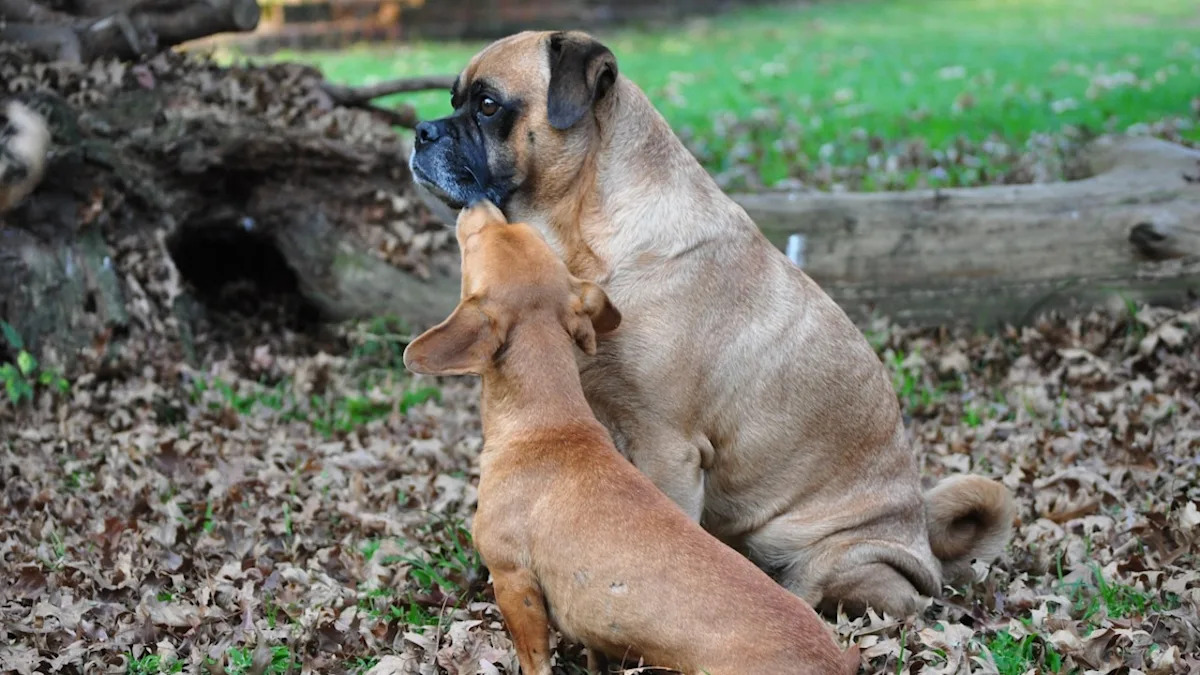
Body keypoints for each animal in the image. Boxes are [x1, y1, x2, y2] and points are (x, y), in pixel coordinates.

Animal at [404, 200, 861, 675]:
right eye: (521, 233)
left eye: (479, 241)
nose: (480, 204)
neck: (550, 422)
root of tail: (837, 662)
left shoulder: (514, 581)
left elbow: (535, 660)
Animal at [409, 30, 1015, 618]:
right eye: (454, 101)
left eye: (488, 106)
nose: (420, 131)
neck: (586, 230)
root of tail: (928, 551)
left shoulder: (667, 448)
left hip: (829, 551)